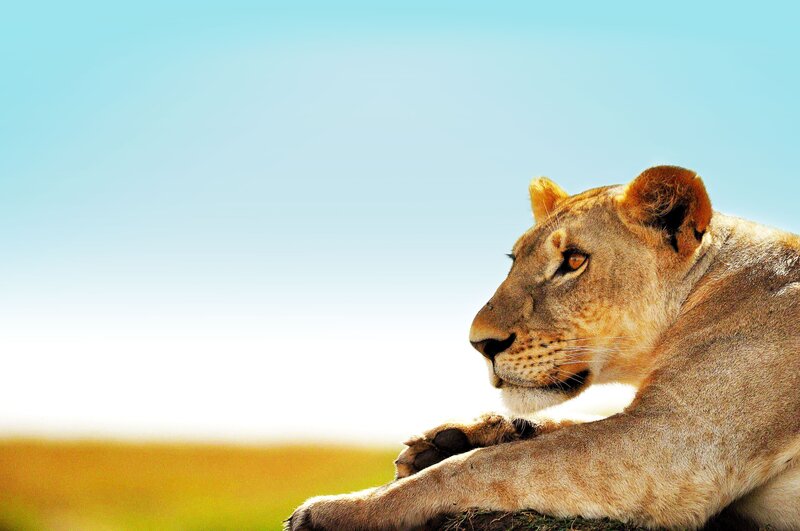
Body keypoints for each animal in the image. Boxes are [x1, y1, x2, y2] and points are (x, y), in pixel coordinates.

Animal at [288, 166, 800, 530]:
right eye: (514, 259)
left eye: (573, 261)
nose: (480, 344)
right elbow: (555, 428)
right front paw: (448, 440)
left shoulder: (673, 443)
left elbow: (489, 467)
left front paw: (337, 510)